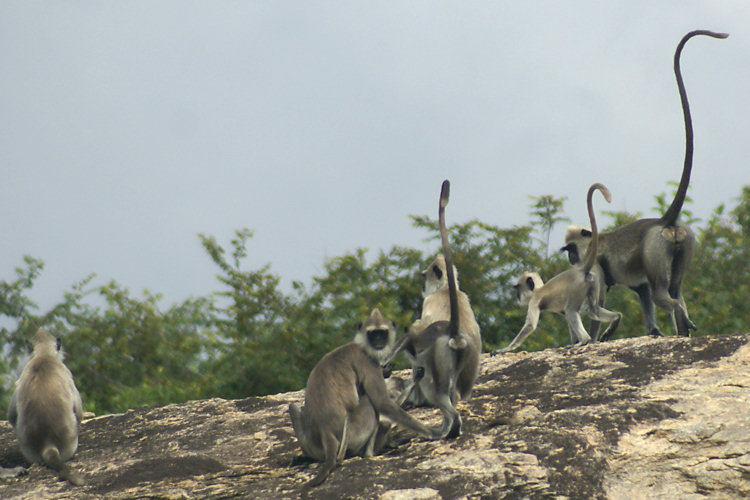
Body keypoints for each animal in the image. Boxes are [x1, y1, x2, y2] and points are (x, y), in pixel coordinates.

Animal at [7, 328, 85, 484]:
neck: (43, 356)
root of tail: (48, 445)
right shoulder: (66, 371)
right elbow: (79, 413)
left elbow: (11, 417)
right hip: (70, 444)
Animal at [288, 306, 440, 486]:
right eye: (373, 334)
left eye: (382, 333)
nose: (379, 341)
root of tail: (326, 431)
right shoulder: (367, 362)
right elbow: (382, 402)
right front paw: (432, 432)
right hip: (352, 433)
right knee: (371, 404)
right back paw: (371, 453)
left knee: (293, 406)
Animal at [382, 182, 482, 440]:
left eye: (424, 278)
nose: (421, 286)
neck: (447, 288)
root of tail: (454, 334)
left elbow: (413, 330)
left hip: (436, 362)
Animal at [494, 183, 624, 352]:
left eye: (518, 288)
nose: (517, 296)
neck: (539, 289)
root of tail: (582, 270)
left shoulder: (534, 300)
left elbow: (530, 326)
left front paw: (504, 349)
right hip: (592, 282)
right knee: (593, 309)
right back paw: (616, 318)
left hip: (577, 289)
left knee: (572, 312)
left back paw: (584, 340)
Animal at [564, 30, 728, 340]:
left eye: (570, 250)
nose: (569, 259)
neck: (595, 241)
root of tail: (665, 221)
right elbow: (642, 293)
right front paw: (653, 330)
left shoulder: (595, 266)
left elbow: (597, 302)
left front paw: (594, 337)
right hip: (684, 243)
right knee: (674, 291)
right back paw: (683, 327)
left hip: (654, 249)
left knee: (664, 295)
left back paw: (680, 320)